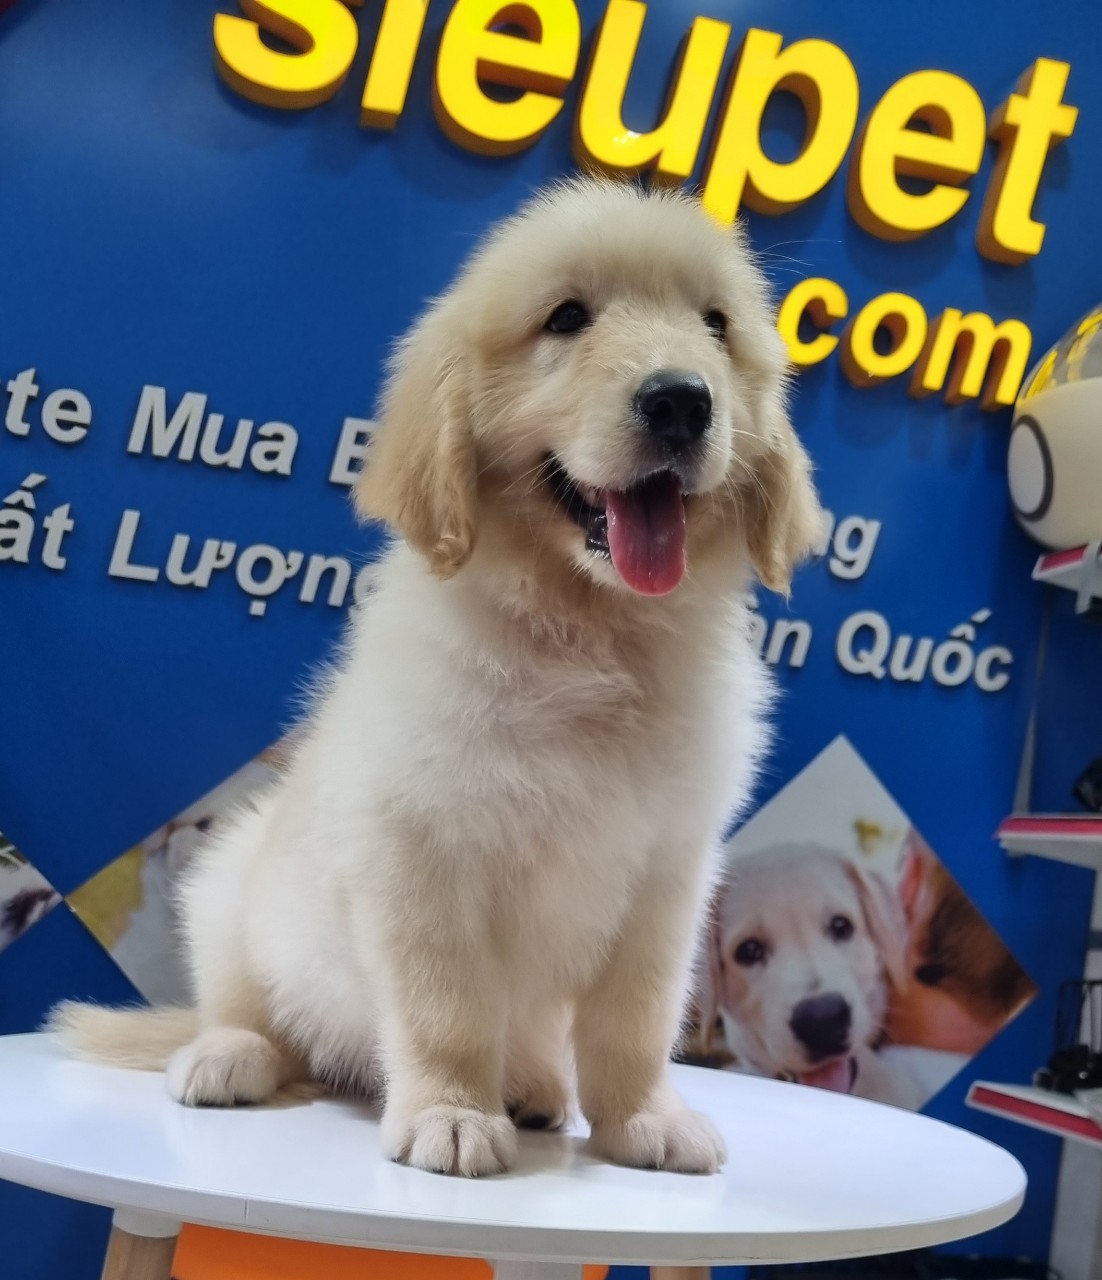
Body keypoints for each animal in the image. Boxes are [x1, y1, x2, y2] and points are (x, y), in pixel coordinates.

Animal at [51, 178, 824, 1177]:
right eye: (567, 318)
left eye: (716, 327)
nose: (683, 400)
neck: (590, 635)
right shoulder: (421, 850)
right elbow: (445, 1005)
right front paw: (452, 1113)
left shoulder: (669, 875)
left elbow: (635, 1017)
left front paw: (642, 1119)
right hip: (229, 887)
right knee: (250, 1009)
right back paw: (229, 1056)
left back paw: (532, 1088)